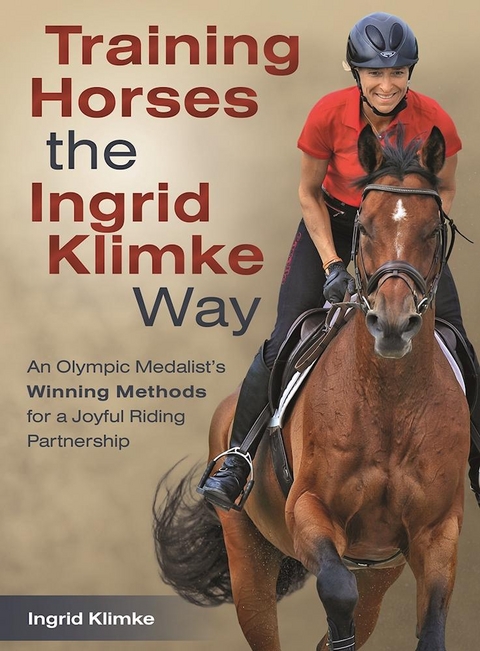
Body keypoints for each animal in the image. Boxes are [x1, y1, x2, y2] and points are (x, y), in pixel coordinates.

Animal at [153, 124, 470, 651]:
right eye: (365, 227)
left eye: (431, 230)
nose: (392, 323)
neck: (390, 403)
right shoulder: (308, 512)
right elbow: (336, 591)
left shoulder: (436, 532)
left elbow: (429, 628)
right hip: (248, 556)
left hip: (378, 571)